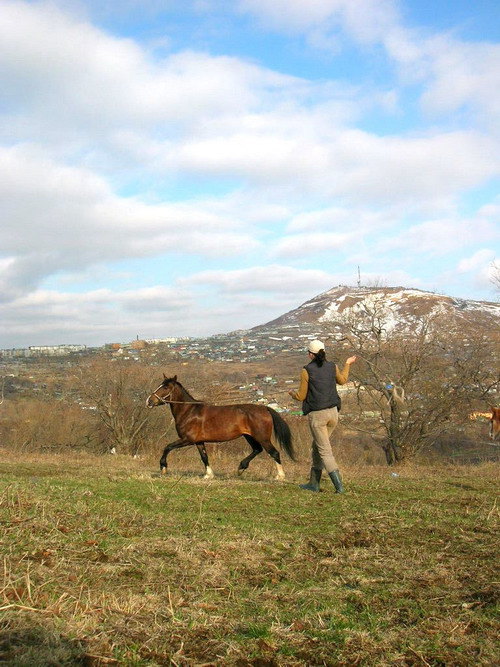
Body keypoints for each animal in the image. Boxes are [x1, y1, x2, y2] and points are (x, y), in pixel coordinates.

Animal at [145, 376, 294, 480]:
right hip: (249, 436)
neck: (189, 411)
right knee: (257, 450)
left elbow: (167, 447)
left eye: (165, 387)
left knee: (274, 453)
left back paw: (280, 476)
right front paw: (208, 475)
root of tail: (265, 408)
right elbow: (204, 457)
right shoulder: (199, 441)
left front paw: (163, 467)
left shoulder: (187, 439)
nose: (149, 401)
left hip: (262, 438)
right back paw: (241, 467)